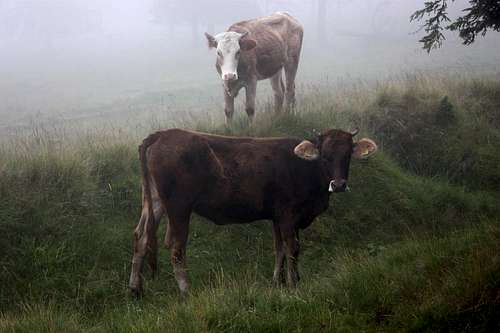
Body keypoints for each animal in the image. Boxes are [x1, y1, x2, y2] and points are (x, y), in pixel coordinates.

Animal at [127, 127, 376, 296]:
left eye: (347, 155)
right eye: (325, 155)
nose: (339, 184)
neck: (305, 167)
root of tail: (163, 134)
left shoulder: (277, 217)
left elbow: (279, 248)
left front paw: (279, 280)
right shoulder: (288, 214)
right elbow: (292, 248)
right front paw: (293, 283)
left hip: (155, 202)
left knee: (141, 237)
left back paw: (135, 289)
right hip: (179, 207)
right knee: (176, 247)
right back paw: (186, 290)